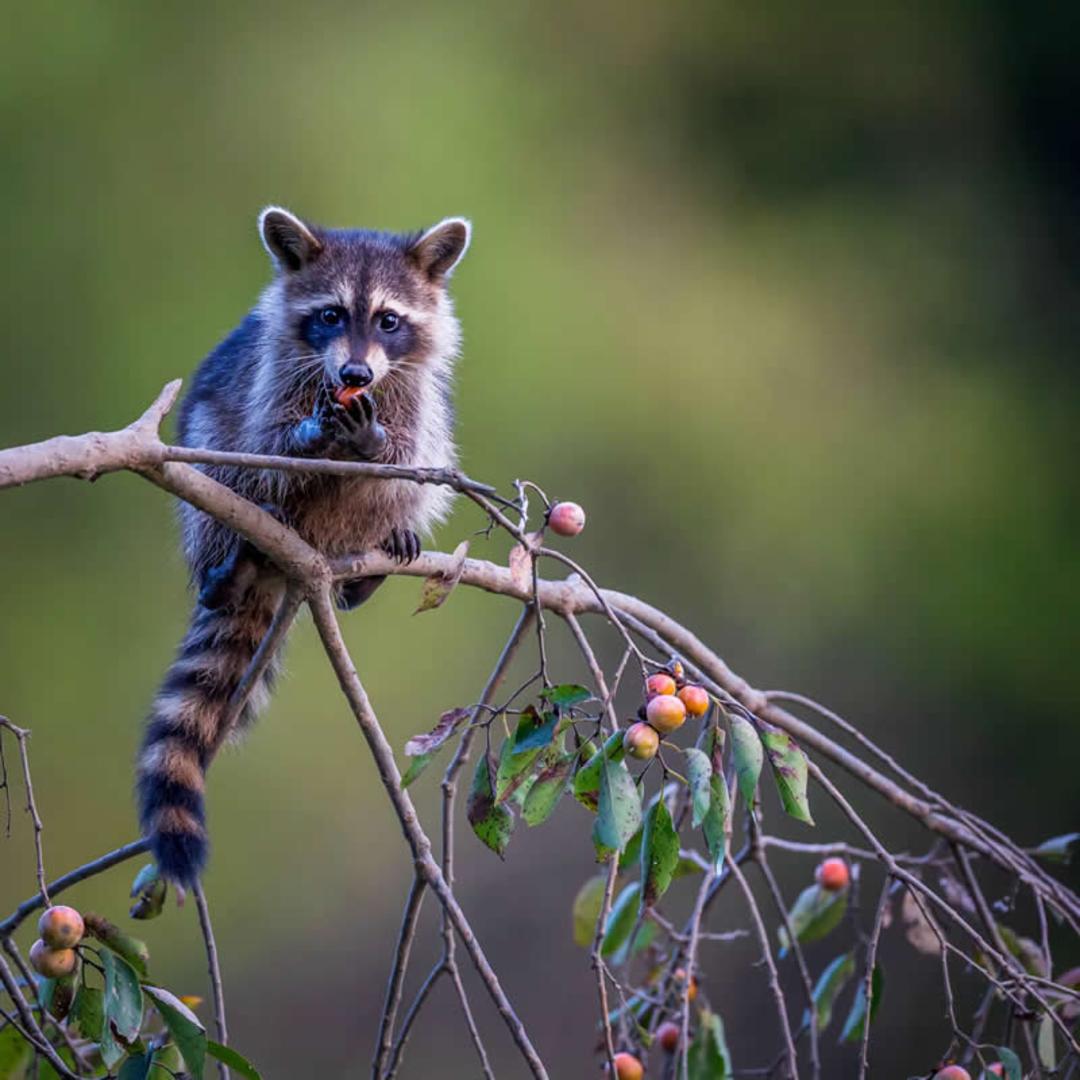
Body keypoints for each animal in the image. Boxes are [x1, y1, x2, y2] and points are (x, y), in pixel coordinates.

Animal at [136, 208, 470, 885]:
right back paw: (230, 569)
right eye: (331, 315)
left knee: (413, 484)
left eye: (389, 320)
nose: (354, 376)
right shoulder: (270, 379)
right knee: (218, 456)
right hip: (210, 457)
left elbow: (409, 457)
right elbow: (265, 450)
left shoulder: (413, 398)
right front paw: (309, 439)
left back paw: (370, 563)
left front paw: (374, 445)